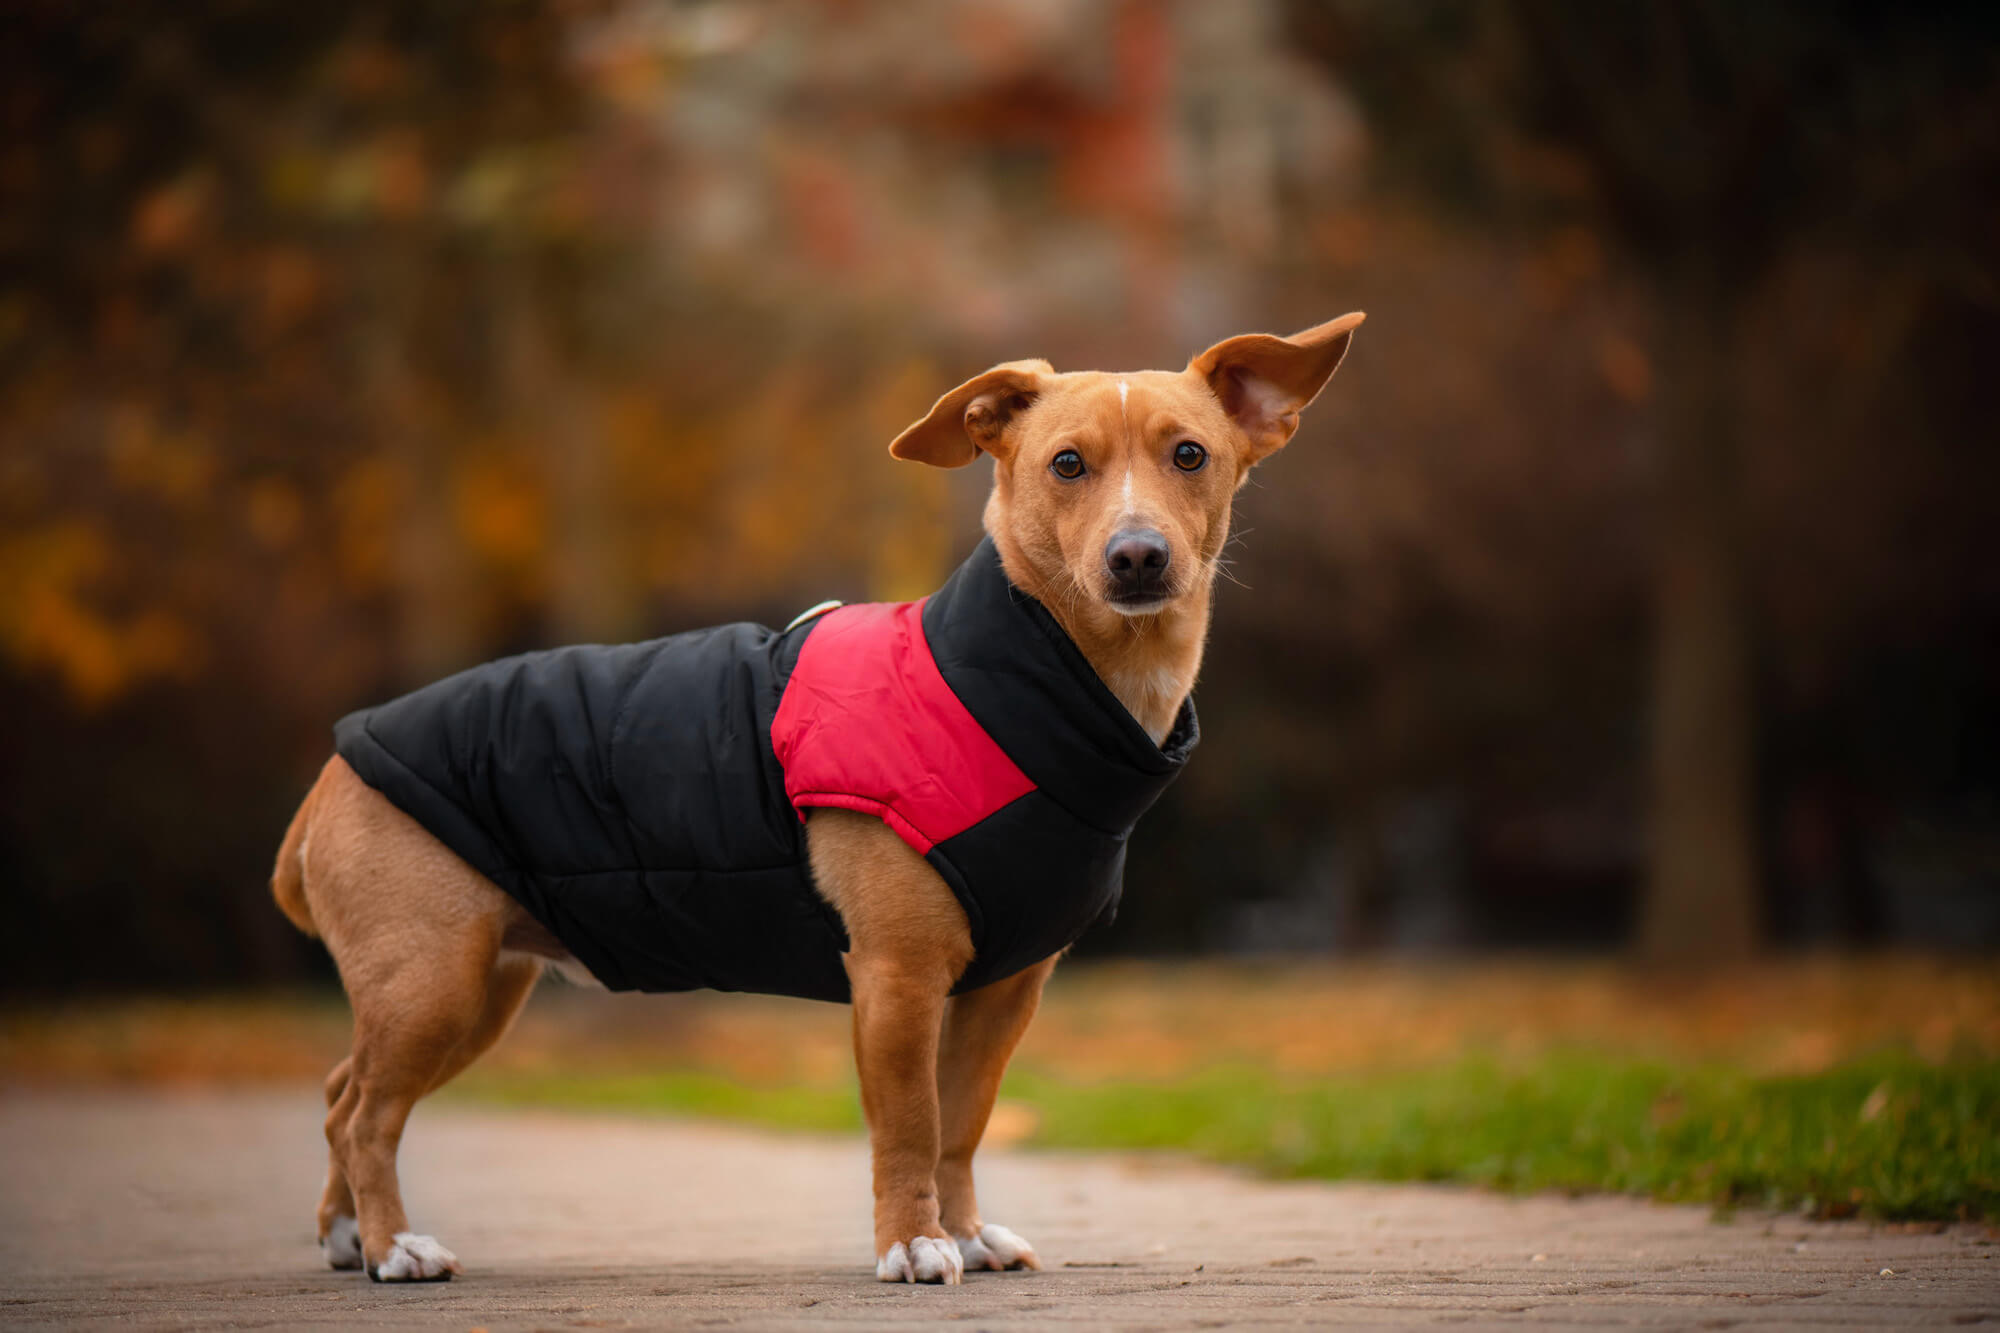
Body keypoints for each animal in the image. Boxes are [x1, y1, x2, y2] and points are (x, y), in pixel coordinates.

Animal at [274, 312, 1360, 1280]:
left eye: (1189, 454)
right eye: (1065, 465)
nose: (1137, 556)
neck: (1017, 682)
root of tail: (332, 772)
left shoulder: (1003, 988)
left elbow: (963, 1123)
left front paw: (966, 1232)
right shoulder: (895, 977)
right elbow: (910, 1126)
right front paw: (914, 1244)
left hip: (471, 990)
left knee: (336, 1091)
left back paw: (345, 1235)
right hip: (433, 981)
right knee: (367, 1114)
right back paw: (391, 1246)